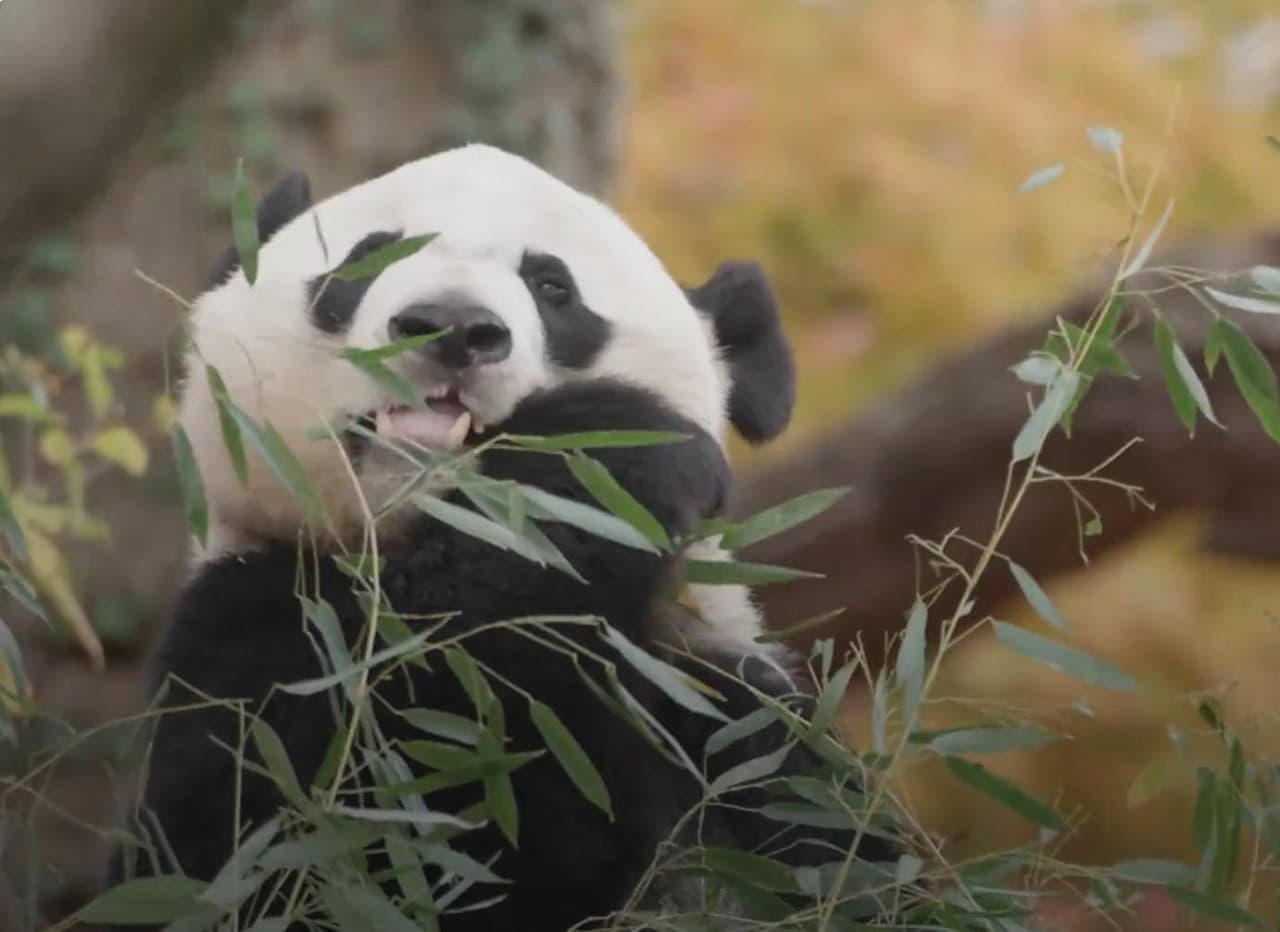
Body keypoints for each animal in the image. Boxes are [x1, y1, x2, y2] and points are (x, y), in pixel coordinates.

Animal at [104, 144, 905, 930]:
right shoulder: (256, 624)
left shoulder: (727, 712)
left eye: (553, 287)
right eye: (367, 256)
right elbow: (269, 837)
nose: (452, 327)